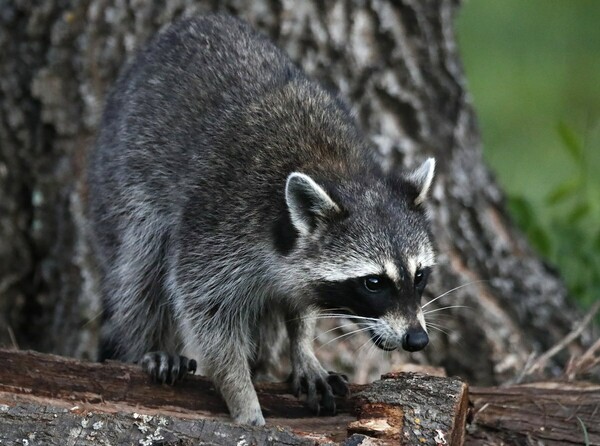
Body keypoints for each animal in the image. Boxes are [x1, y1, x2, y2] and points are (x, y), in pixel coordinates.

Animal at [88, 13, 436, 426]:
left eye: (419, 275)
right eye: (374, 282)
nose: (417, 339)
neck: (335, 169)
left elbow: (299, 302)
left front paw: (302, 349)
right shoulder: (218, 222)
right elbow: (208, 313)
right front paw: (242, 398)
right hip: (121, 180)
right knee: (140, 263)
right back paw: (148, 342)